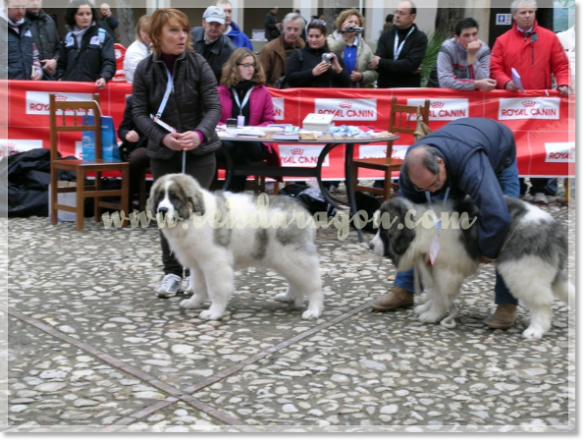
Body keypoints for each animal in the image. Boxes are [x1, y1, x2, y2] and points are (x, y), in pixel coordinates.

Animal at [145, 174, 320, 322]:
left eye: (175, 197)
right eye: (160, 196)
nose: (162, 210)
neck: (192, 217)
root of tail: (302, 210)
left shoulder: (214, 263)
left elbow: (216, 289)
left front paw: (214, 312)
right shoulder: (198, 263)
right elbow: (198, 286)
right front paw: (194, 302)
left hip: (294, 256)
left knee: (313, 284)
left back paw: (314, 310)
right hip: (283, 258)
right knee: (295, 280)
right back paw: (289, 297)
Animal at [372, 198, 572, 340]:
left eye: (384, 232)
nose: (370, 245)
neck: (423, 228)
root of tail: (555, 232)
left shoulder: (446, 269)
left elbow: (441, 296)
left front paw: (432, 315)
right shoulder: (435, 266)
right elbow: (435, 292)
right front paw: (426, 308)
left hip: (523, 269)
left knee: (541, 303)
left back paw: (536, 329)